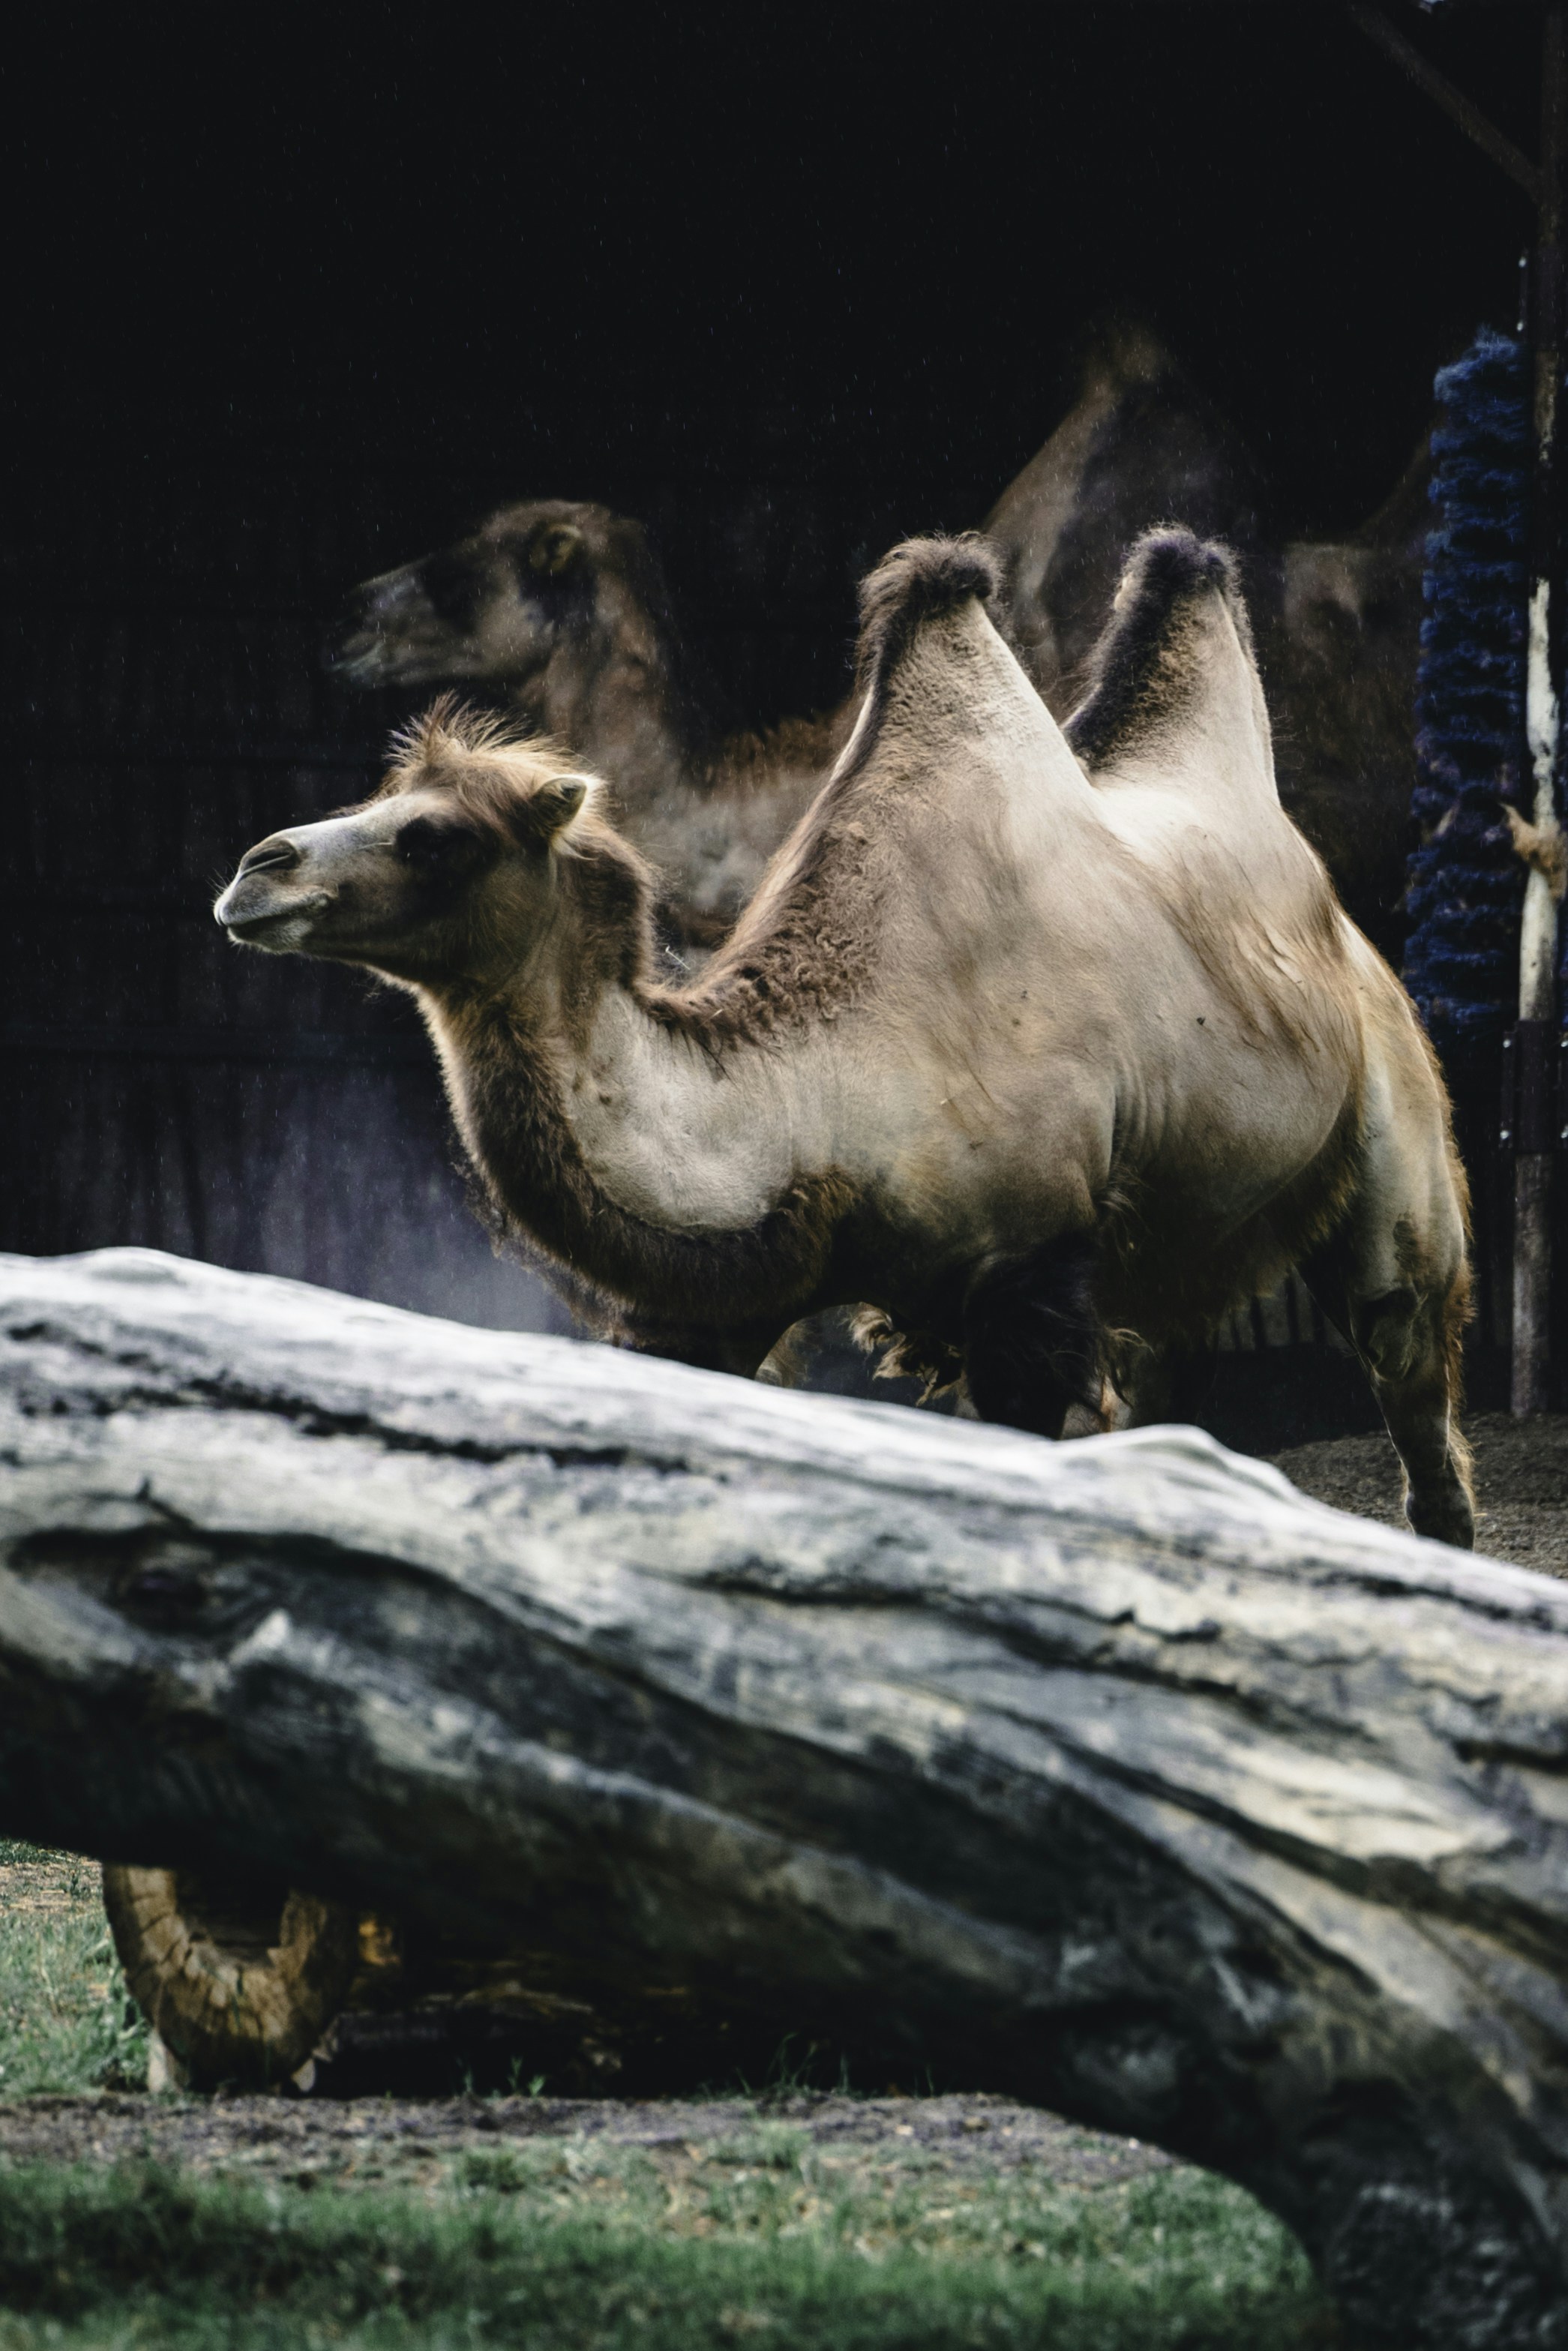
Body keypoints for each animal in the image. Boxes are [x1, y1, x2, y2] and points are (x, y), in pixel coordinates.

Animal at [225, 528, 1474, 1547]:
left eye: (434, 835)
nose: (254, 868)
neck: (822, 1089)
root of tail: (1347, 935)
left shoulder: (1028, 1274)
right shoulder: (726, 1289)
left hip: (1391, 1120)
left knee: (1403, 1347)